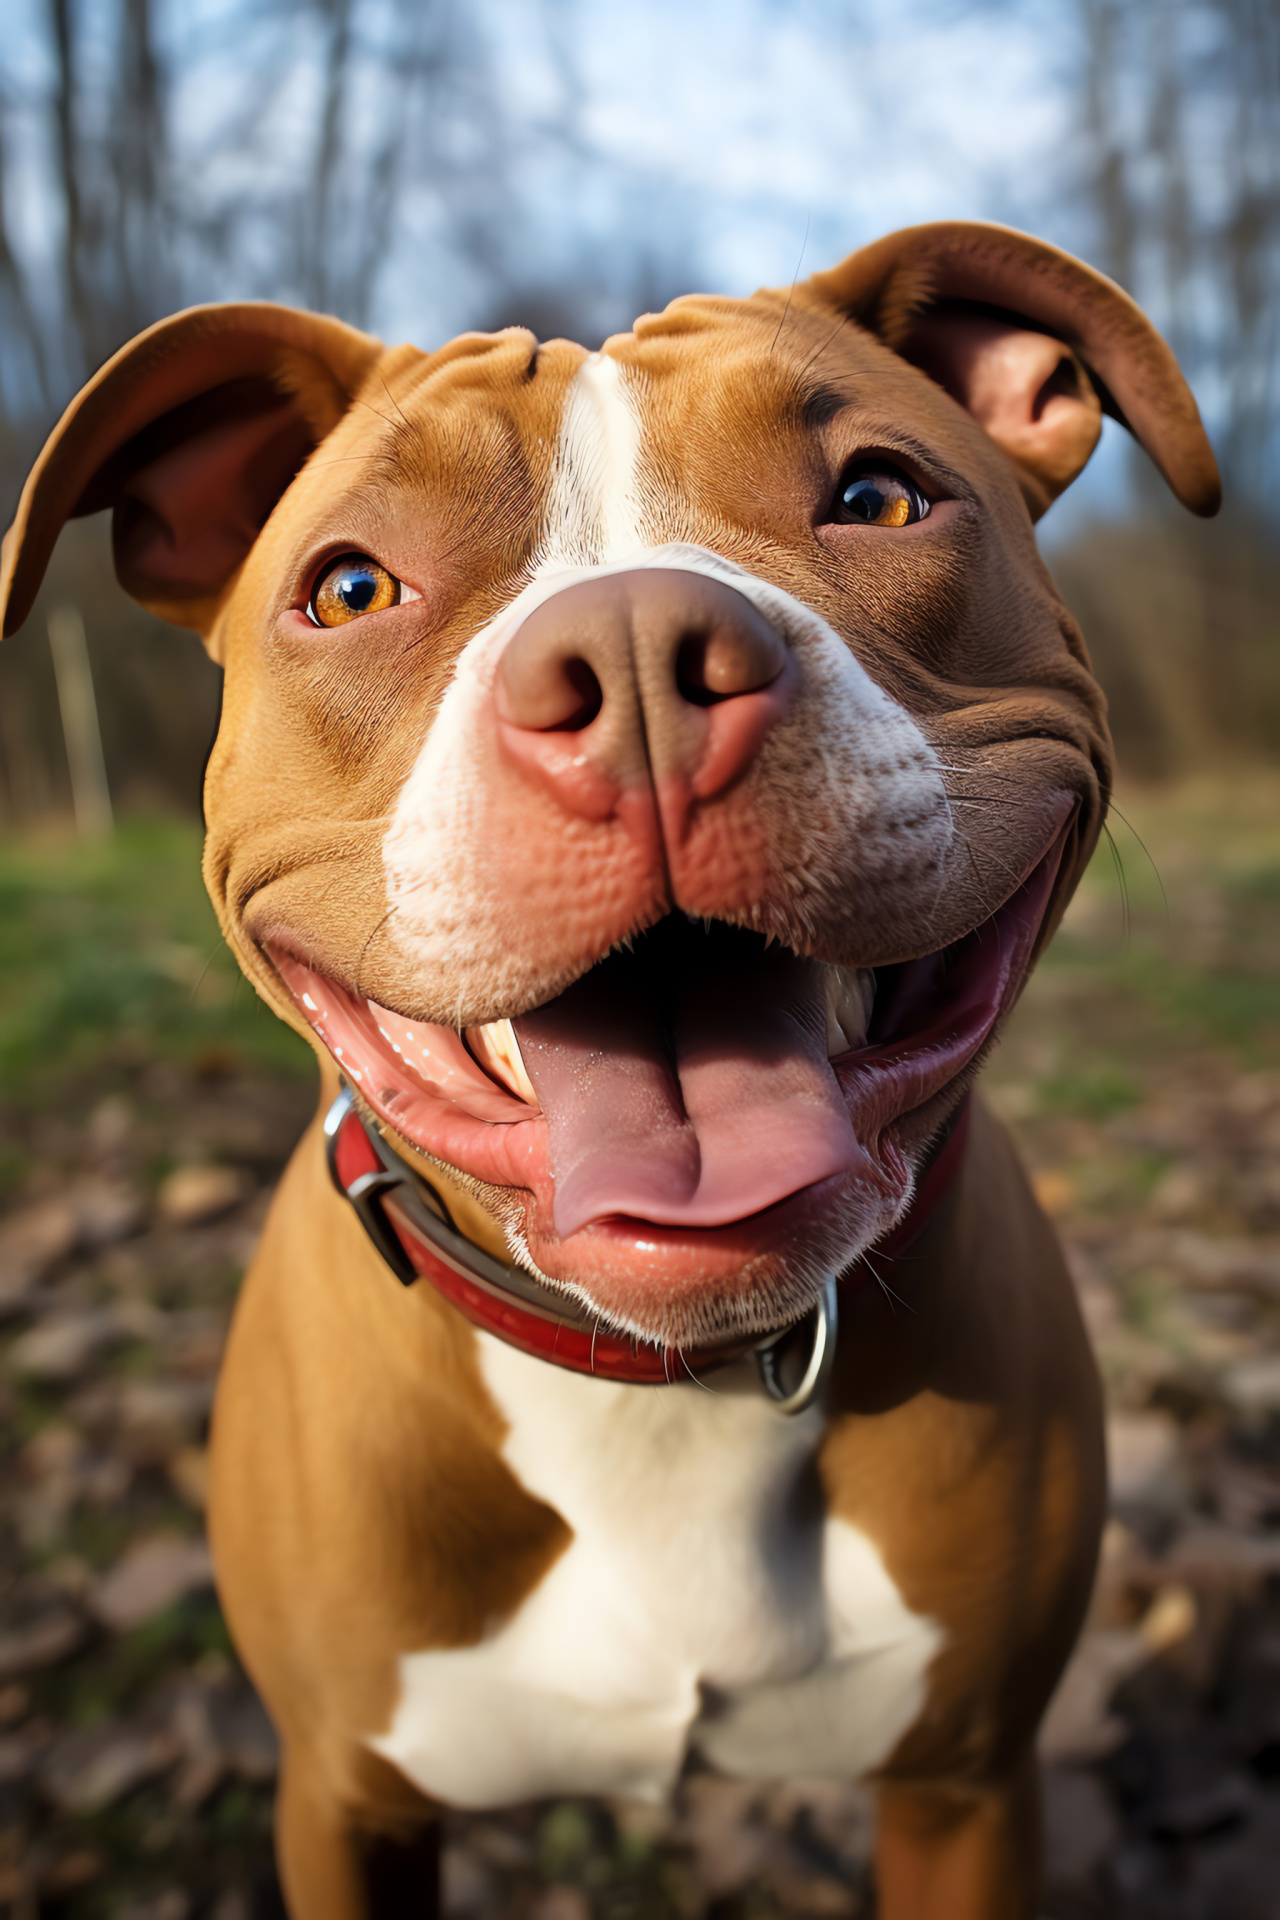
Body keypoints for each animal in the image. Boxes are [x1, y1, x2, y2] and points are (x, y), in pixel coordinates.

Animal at [2, 224, 1220, 1920]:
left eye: (879, 496)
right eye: (351, 587)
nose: (640, 659)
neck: (661, 1379)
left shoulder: (968, 1789)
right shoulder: (344, 1801)